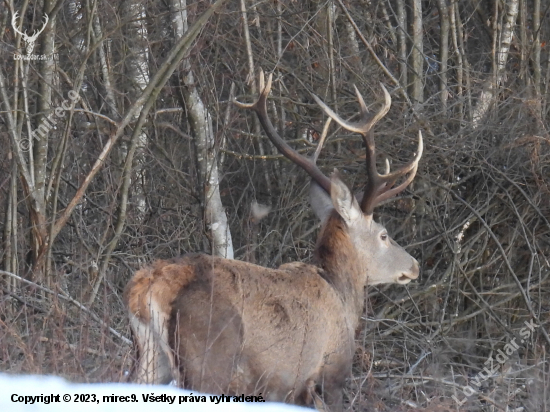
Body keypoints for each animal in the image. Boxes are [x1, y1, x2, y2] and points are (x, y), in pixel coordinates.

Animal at [125, 72, 424, 410]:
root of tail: (149, 288)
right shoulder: (328, 372)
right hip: (207, 356)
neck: (342, 297)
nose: (414, 265)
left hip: (150, 358)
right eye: (383, 234)